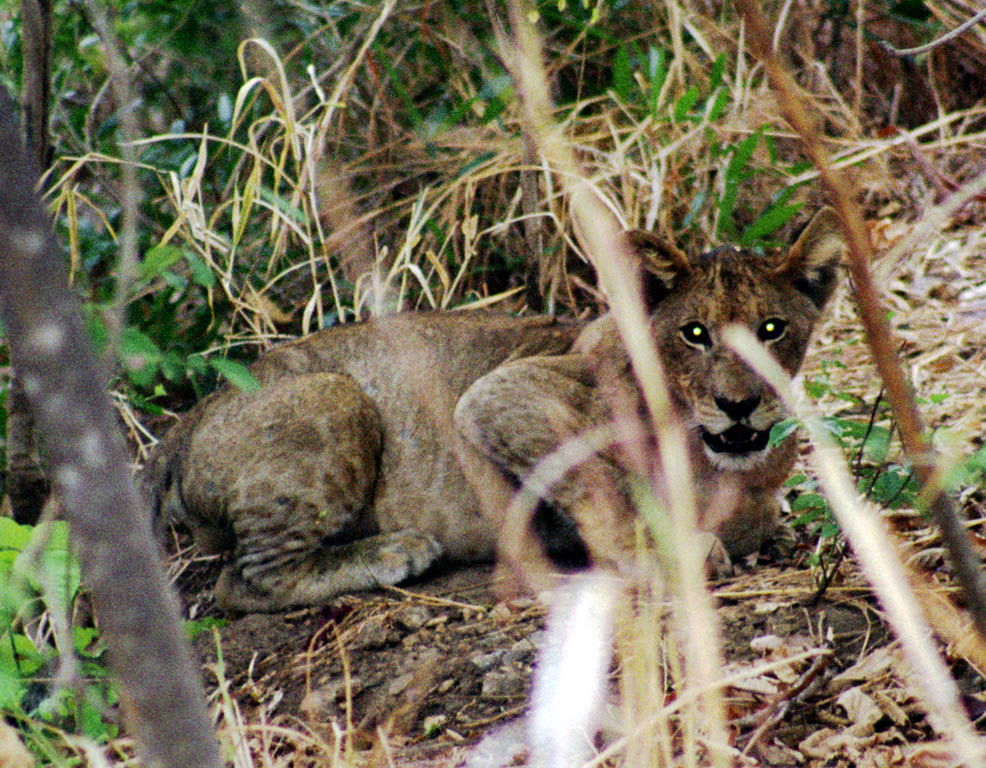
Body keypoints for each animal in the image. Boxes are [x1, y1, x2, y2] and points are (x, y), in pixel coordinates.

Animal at [142, 208, 840, 612]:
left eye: (772, 330)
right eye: (695, 334)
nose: (738, 405)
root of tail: (191, 415)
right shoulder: (498, 394)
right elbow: (599, 482)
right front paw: (655, 554)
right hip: (334, 394)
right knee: (244, 580)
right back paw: (394, 552)